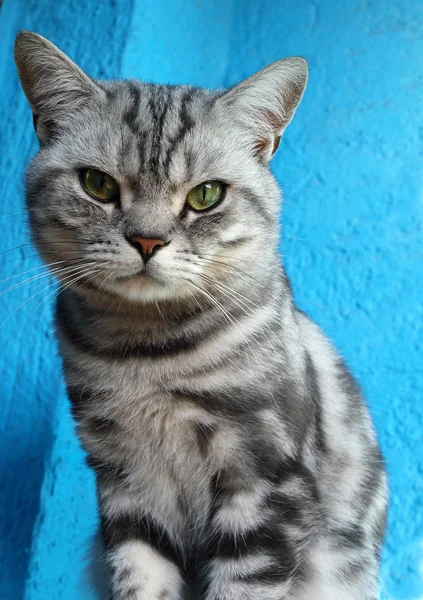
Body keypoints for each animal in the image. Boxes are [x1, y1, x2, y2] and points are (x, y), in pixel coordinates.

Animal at [15, 31, 388, 600]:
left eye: (205, 195)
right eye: (98, 184)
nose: (147, 241)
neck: (145, 354)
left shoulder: (264, 480)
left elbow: (243, 586)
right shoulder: (125, 485)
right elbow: (143, 580)